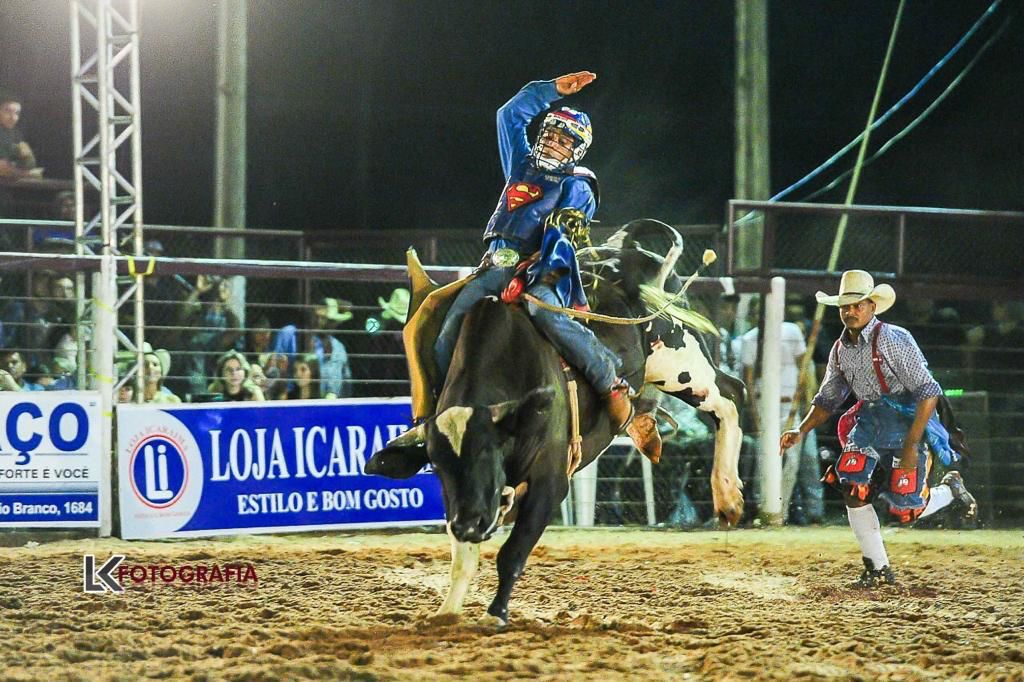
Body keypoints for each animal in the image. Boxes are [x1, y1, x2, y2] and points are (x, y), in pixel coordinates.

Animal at [366, 218, 745, 622]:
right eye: (436, 466)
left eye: (486, 452)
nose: (468, 524)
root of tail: (625, 246)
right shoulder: (461, 500)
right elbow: (463, 557)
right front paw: (448, 611)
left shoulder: (550, 483)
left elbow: (512, 553)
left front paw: (495, 613)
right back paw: (646, 429)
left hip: (678, 357)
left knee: (731, 395)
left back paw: (728, 497)